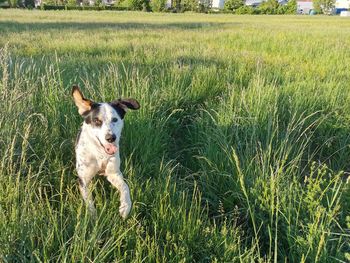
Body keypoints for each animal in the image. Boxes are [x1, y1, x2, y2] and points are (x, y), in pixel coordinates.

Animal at [71, 85, 139, 220]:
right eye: (97, 121)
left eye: (115, 119)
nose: (111, 138)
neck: (100, 154)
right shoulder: (84, 180)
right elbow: (89, 201)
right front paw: (93, 217)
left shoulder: (113, 173)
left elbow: (125, 187)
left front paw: (125, 207)